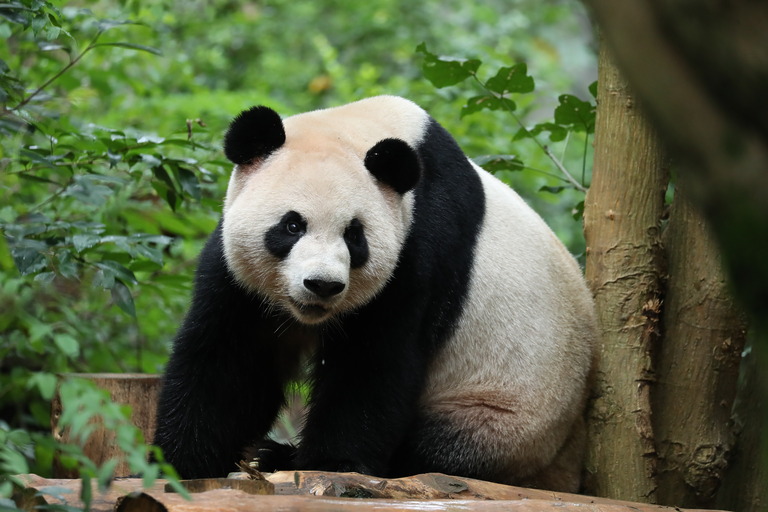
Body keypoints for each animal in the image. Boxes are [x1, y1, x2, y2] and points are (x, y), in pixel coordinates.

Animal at [153, 95, 596, 492]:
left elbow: (373, 364)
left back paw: (280, 455)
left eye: (354, 236)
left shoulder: (421, 244)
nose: (322, 285)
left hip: (504, 416)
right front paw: (179, 462)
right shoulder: (238, 272)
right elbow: (232, 361)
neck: (354, 129)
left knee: (439, 449)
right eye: (292, 225)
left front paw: (330, 465)